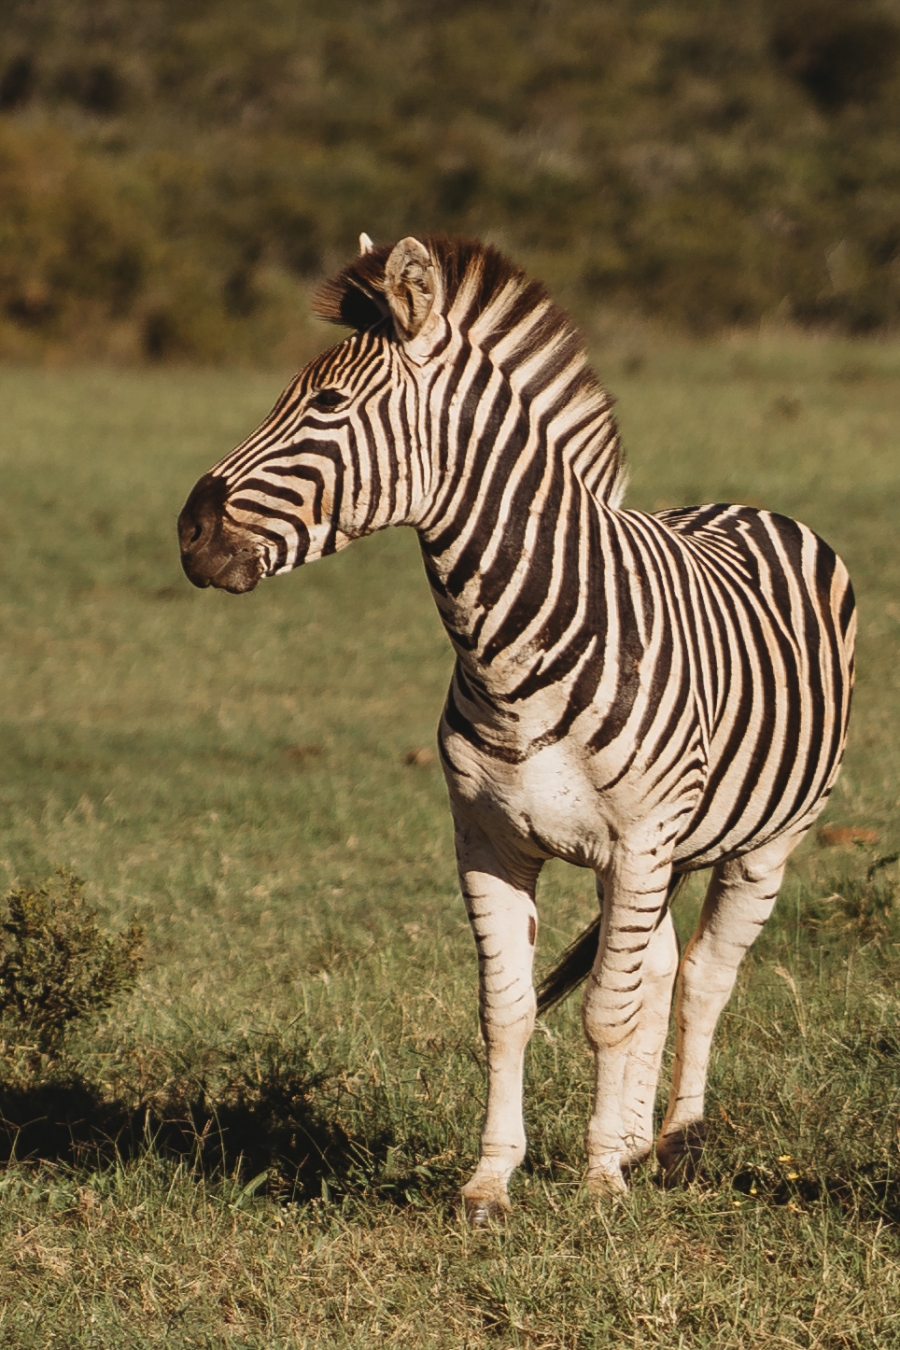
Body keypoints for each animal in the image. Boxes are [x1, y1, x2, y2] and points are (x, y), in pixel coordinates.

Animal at [178, 232, 858, 1225]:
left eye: (329, 405)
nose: (188, 534)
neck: (511, 655)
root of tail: (747, 506)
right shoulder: (490, 840)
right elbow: (510, 1010)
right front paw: (493, 1181)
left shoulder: (640, 839)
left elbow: (607, 1011)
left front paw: (600, 1182)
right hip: (658, 858)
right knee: (659, 968)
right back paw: (636, 1134)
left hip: (764, 840)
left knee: (703, 977)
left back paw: (676, 1142)